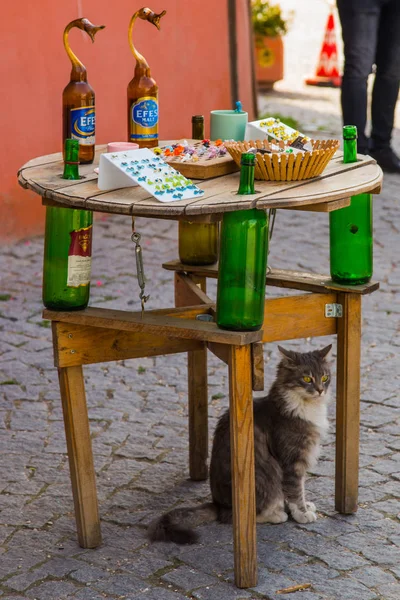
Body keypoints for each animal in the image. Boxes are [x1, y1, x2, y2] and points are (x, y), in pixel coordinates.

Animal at [148, 342, 332, 544]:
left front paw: (305, 506)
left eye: (325, 377)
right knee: (236, 517)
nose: (320, 390)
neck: (305, 407)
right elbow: (295, 489)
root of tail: (218, 505)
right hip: (265, 476)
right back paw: (277, 515)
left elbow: (298, 488)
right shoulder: (292, 460)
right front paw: (302, 513)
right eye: (307, 378)